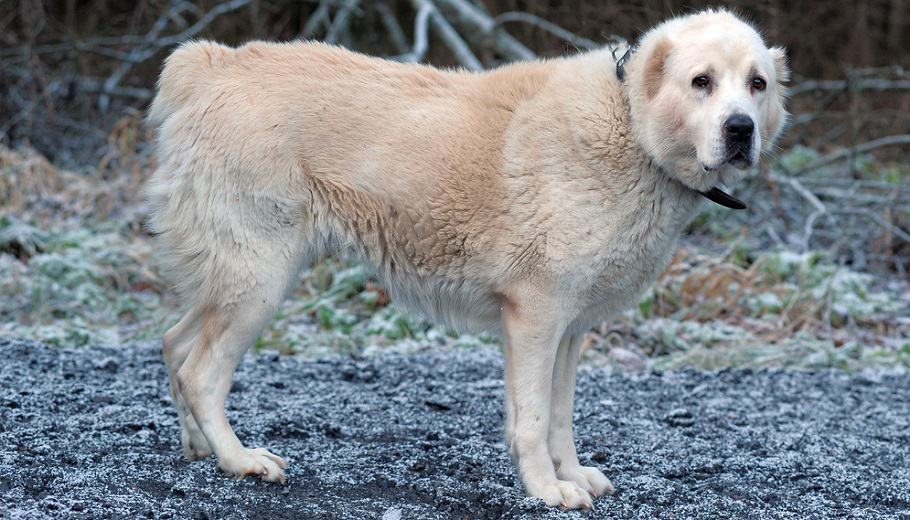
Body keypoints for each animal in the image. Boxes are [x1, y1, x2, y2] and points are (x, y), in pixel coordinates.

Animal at [146, 8, 788, 510]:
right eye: (701, 81)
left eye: (757, 84)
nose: (740, 129)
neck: (629, 124)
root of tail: (211, 64)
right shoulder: (535, 317)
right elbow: (533, 418)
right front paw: (546, 490)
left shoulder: (569, 328)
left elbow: (560, 416)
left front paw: (572, 475)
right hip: (259, 280)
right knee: (201, 372)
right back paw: (240, 460)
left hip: (233, 278)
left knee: (175, 345)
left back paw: (199, 449)